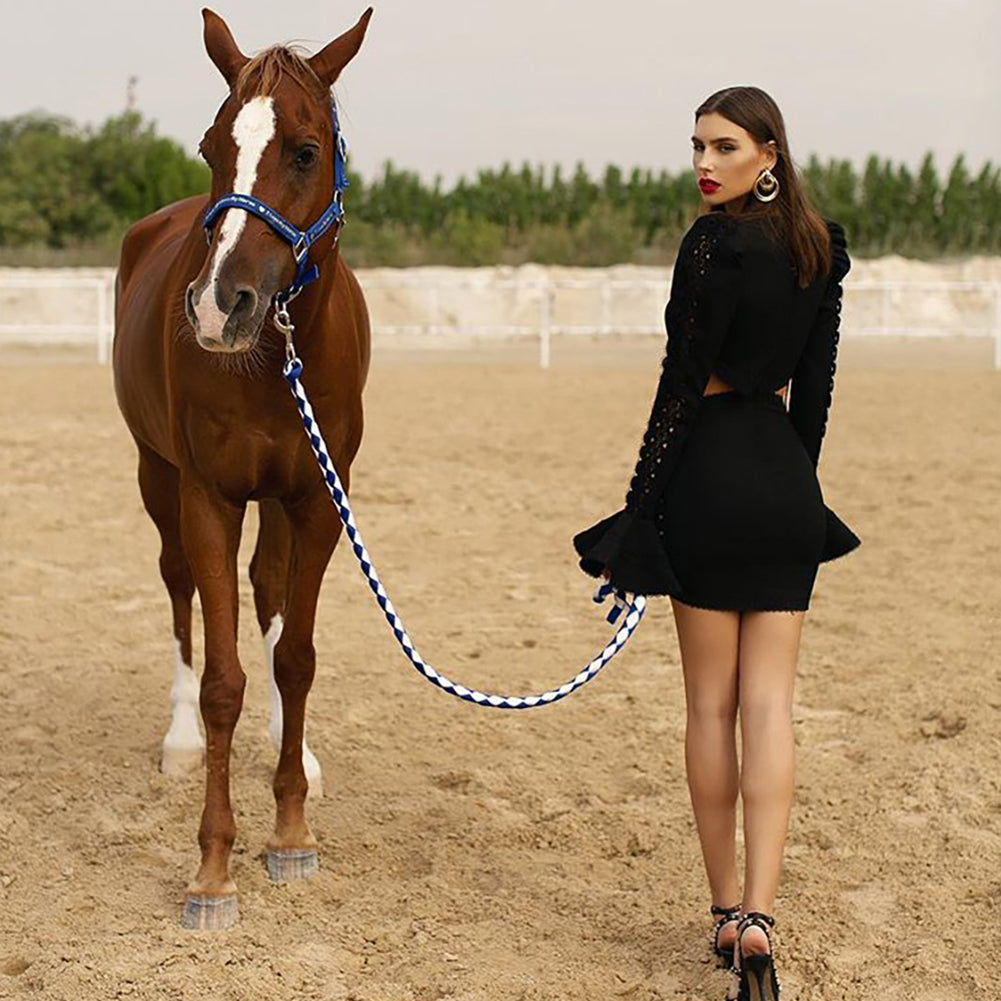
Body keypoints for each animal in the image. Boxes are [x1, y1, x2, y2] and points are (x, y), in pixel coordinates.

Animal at [110, 7, 376, 928]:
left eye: (304, 149)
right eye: (209, 145)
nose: (218, 307)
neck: (274, 354)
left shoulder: (318, 500)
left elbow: (294, 655)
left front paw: (290, 827)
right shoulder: (209, 496)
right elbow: (223, 676)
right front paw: (213, 867)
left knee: (265, 589)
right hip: (156, 477)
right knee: (177, 586)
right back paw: (180, 737)